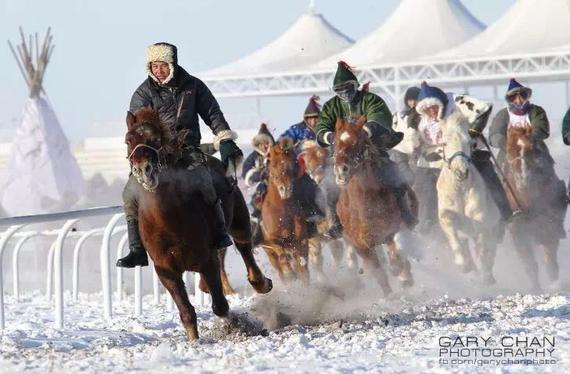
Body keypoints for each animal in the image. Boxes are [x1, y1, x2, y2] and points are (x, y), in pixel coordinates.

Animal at [126, 107, 270, 338]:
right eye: (128, 139)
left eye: (156, 139)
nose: (143, 170)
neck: (168, 221)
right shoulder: (165, 269)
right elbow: (186, 311)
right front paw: (194, 340)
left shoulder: (206, 259)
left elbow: (220, 306)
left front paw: (237, 324)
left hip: (239, 220)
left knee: (243, 246)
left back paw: (261, 283)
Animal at [258, 137, 308, 284]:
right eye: (272, 165)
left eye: (290, 164)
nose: (285, 188)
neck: (282, 211)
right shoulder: (273, 240)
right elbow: (280, 250)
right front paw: (289, 272)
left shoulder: (301, 238)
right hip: (270, 254)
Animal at [332, 115, 412, 294]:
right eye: (335, 143)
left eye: (357, 141)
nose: (341, 171)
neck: (366, 205)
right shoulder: (362, 247)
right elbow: (378, 272)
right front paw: (389, 295)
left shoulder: (393, 231)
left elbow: (397, 256)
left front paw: (401, 275)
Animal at [434, 111, 496, 284]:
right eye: (445, 143)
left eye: (470, 143)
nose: (461, 171)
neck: (460, 190)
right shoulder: (446, 216)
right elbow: (451, 229)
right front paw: (463, 264)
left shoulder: (481, 220)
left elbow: (483, 245)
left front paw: (484, 273)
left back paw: (487, 275)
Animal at [502, 125, 564, 290]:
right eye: (509, 150)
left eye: (531, 149)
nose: (523, 179)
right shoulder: (518, 232)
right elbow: (530, 265)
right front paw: (536, 288)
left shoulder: (550, 226)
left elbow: (550, 262)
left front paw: (555, 285)